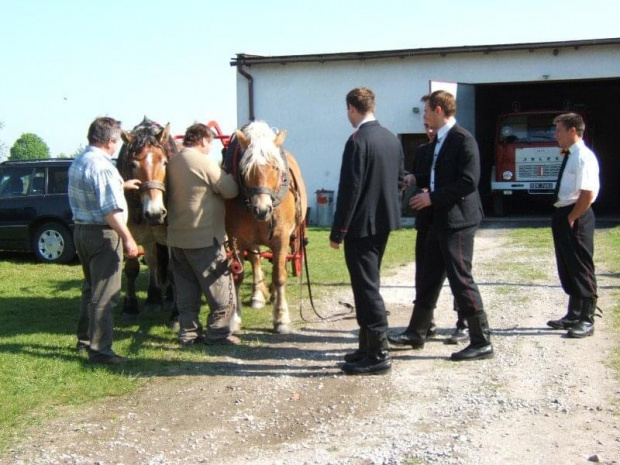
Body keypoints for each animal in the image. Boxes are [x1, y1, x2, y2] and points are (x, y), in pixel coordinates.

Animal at [117, 118, 176, 318]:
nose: (155, 213)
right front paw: (130, 306)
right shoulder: (130, 234)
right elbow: (132, 268)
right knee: (153, 261)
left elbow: (174, 270)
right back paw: (154, 297)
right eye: (133, 165)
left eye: (165, 163)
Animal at [225, 121, 308, 332]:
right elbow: (238, 275)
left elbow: (279, 276)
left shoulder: (281, 238)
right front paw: (235, 318)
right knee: (255, 259)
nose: (262, 209)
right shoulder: (236, 239)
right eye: (245, 170)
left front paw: (281, 318)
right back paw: (258, 295)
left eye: (276, 168)